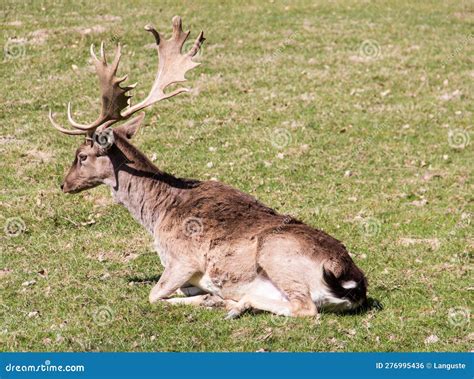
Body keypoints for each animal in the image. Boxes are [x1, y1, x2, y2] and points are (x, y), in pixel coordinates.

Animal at [51, 16, 368, 320]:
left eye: (81, 155)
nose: (64, 183)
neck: (156, 215)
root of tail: (353, 283)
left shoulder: (182, 260)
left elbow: (154, 295)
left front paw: (207, 298)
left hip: (276, 253)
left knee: (305, 308)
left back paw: (232, 303)